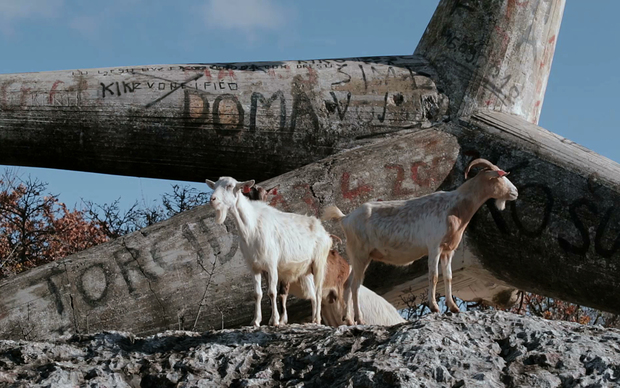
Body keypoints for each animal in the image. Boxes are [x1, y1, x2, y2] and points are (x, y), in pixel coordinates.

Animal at [207, 177, 332, 326]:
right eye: (214, 186)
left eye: (230, 186)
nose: (213, 199)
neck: (251, 227)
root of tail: (322, 230)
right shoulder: (254, 266)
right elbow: (257, 294)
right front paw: (256, 321)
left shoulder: (272, 265)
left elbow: (272, 292)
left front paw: (275, 321)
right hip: (305, 270)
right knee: (312, 294)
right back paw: (313, 320)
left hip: (319, 262)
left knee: (318, 292)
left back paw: (317, 320)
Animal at [324, 158, 520, 324]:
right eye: (500, 177)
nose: (515, 192)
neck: (454, 207)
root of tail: (345, 218)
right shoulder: (434, 247)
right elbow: (434, 276)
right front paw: (434, 307)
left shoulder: (448, 250)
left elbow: (448, 277)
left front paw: (454, 308)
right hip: (360, 254)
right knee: (355, 285)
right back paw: (360, 319)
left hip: (359, 256)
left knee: (348, 284)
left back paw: (348, 320)